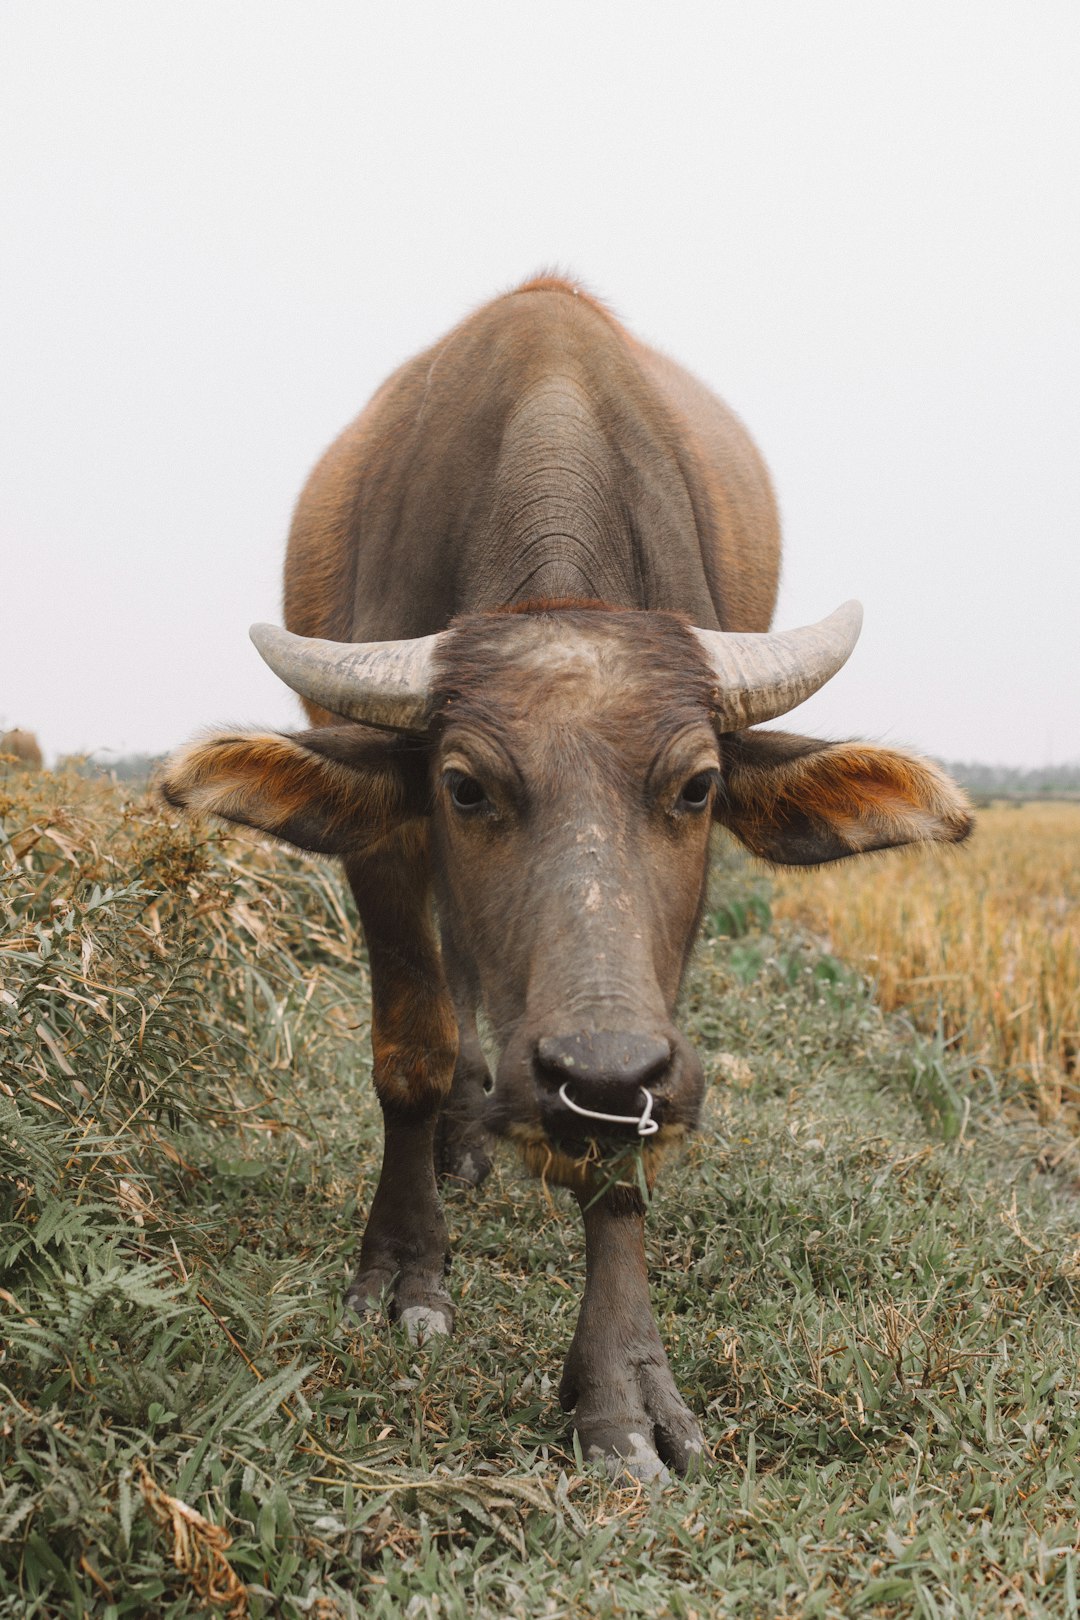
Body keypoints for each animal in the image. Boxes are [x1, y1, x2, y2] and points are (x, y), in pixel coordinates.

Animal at [165, 278, 977, 1483]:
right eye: (463, 785)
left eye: (696, 786)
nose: (590, 1073)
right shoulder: (389, 845)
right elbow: (411, 1050)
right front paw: (405, 1270)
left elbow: (622, 1164)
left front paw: (623, 1389)